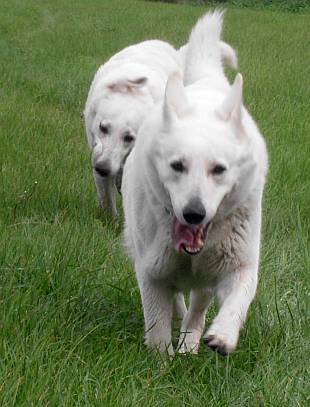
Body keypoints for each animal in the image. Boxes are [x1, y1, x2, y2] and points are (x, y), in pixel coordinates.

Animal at [83, 39, 236, 217]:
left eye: (129, 138)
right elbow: (106, 198)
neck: (134, 92)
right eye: (103, 128)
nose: (102, 168)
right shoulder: (97, 153)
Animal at [122, 11, 268, 356]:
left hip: (207, 279)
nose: (194, 213)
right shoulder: (152, 273)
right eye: (177, 165)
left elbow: (237, 301)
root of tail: (207, 83)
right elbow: (158, 327)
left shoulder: (240, 266)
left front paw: (222, 336)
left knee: (198, 308)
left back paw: (190, 345)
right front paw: (160, 362)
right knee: (176, 302)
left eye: (219, 169)